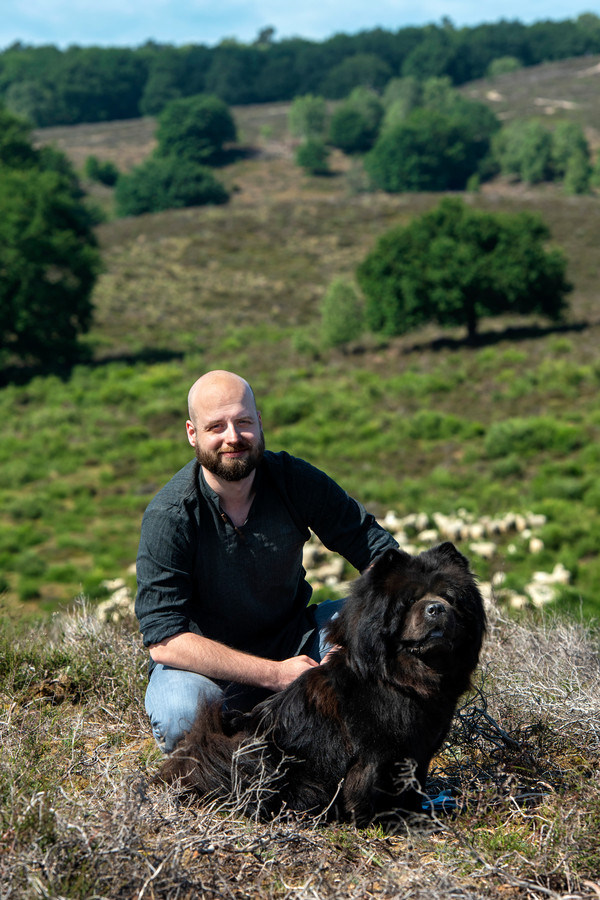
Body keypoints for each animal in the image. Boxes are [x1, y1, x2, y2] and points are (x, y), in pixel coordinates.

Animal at [157, 536, 486, 828]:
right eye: (411, 600)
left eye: (450, 598)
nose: (436, 608)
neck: (400, 679)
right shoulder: (377, 754)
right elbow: (376, 790)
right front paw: (388, 822)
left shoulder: (419, 749)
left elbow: (413, 786)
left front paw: (417, 815)